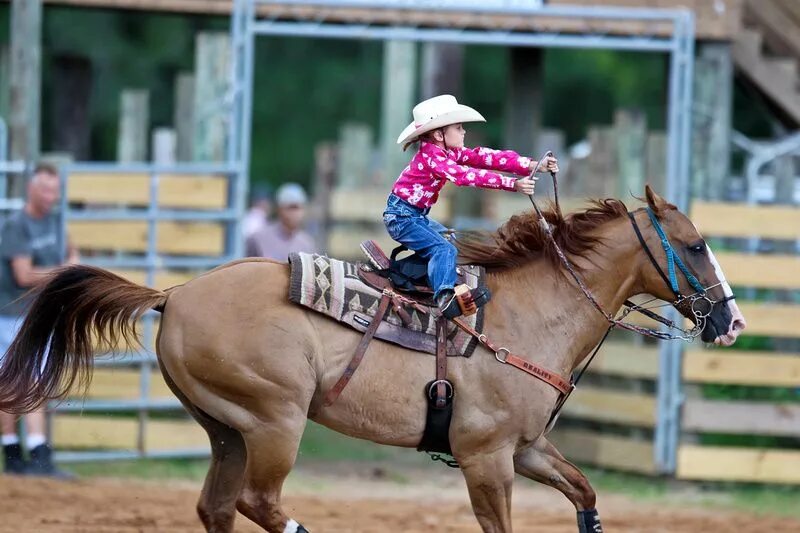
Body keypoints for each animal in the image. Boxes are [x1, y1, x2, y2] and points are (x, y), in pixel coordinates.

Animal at [0, 187, 748, 532]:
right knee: (258, 502)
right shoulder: (486, 457)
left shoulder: (527, 447)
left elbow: (586, 492)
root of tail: (175, 292)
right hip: (274, 421)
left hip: (227, 429)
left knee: (219, 506)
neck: (531, 313)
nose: (732, 321)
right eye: (696, 243)